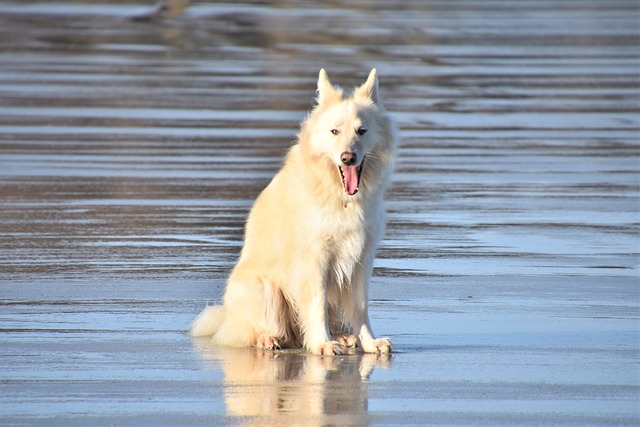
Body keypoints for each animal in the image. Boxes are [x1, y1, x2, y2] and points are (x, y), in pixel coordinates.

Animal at [192, 70, 398, 356]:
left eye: (362, 131)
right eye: (334, 131)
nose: (348, 157)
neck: (339, 197)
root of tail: (226, 318)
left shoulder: (360, 259)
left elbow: (360, 307)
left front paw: (369, 342)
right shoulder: (314, 260)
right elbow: (316, 305)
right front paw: (322, 343)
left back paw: (344, 337)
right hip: (263, 288)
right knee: (266, 331)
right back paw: (269, 339)